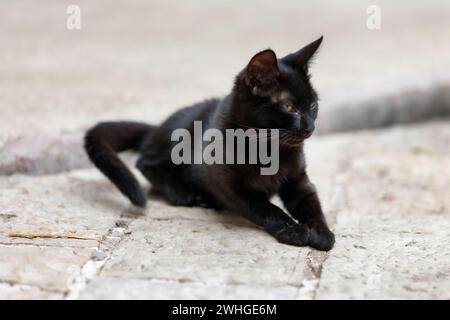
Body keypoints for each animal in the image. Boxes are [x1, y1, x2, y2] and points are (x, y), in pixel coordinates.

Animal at [86, 37, 336, 251]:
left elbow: (312, 205)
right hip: (178, 139)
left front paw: (322, 232)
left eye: (313, 105)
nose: (310, 127)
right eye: (289, 108)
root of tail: (156, 128)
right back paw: (185, 193)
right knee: (145, 162)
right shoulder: (231, 188)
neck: (270, 148)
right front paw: (293, 230)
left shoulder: (299, 182)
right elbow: (266, 207)